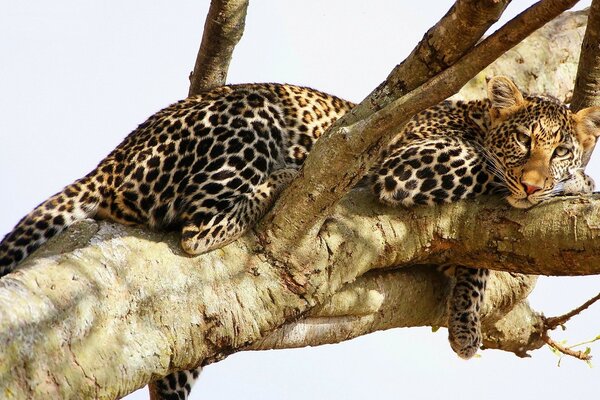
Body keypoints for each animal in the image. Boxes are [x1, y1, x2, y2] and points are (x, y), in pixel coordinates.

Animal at [0, 76, 596, 400]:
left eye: (559, 148)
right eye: (524, 143)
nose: (534, 182)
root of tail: (116, 155)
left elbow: (473, 262)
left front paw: (465, 324)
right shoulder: (410, 164)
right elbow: (483, 169)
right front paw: (574, 184)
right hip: (250, 117)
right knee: (198, 231)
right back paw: (283, 179)